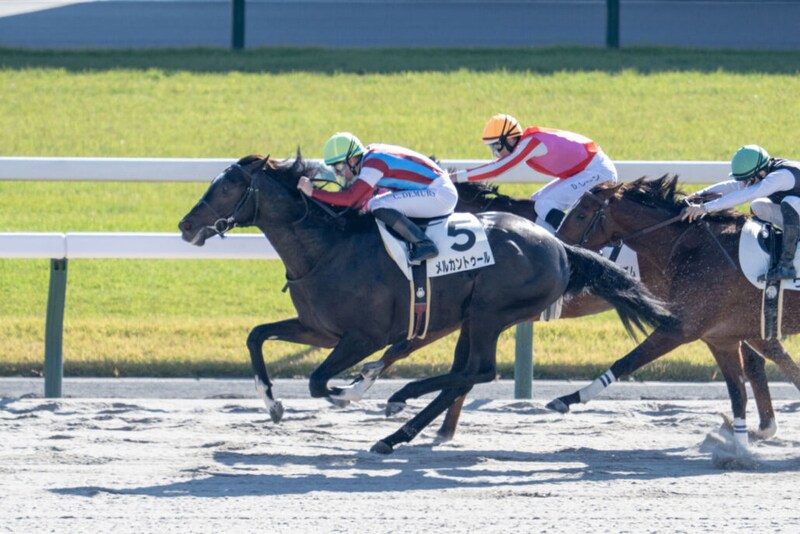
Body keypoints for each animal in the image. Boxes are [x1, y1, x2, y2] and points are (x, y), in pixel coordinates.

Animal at [178, 153, 674, 454]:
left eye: (226, 189)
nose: (185, 225)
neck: (327, 249)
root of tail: (559, 246)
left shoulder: (363, 337)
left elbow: (321, 382)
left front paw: (351, 392)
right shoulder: (319, 329)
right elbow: (256, 336)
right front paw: (272, 403)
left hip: (491, 312)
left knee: (479, 371)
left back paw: (400, 407)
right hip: (475, 317)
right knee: (465, 373)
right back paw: (401, 428)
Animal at [551, 175, 800, 445]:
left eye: (581, 215)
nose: (560, 252)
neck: (692, 248)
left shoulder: (682, 328)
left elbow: (626, 362)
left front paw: (567, 399)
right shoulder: (721, 337)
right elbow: (738, 393)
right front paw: (740, 447)